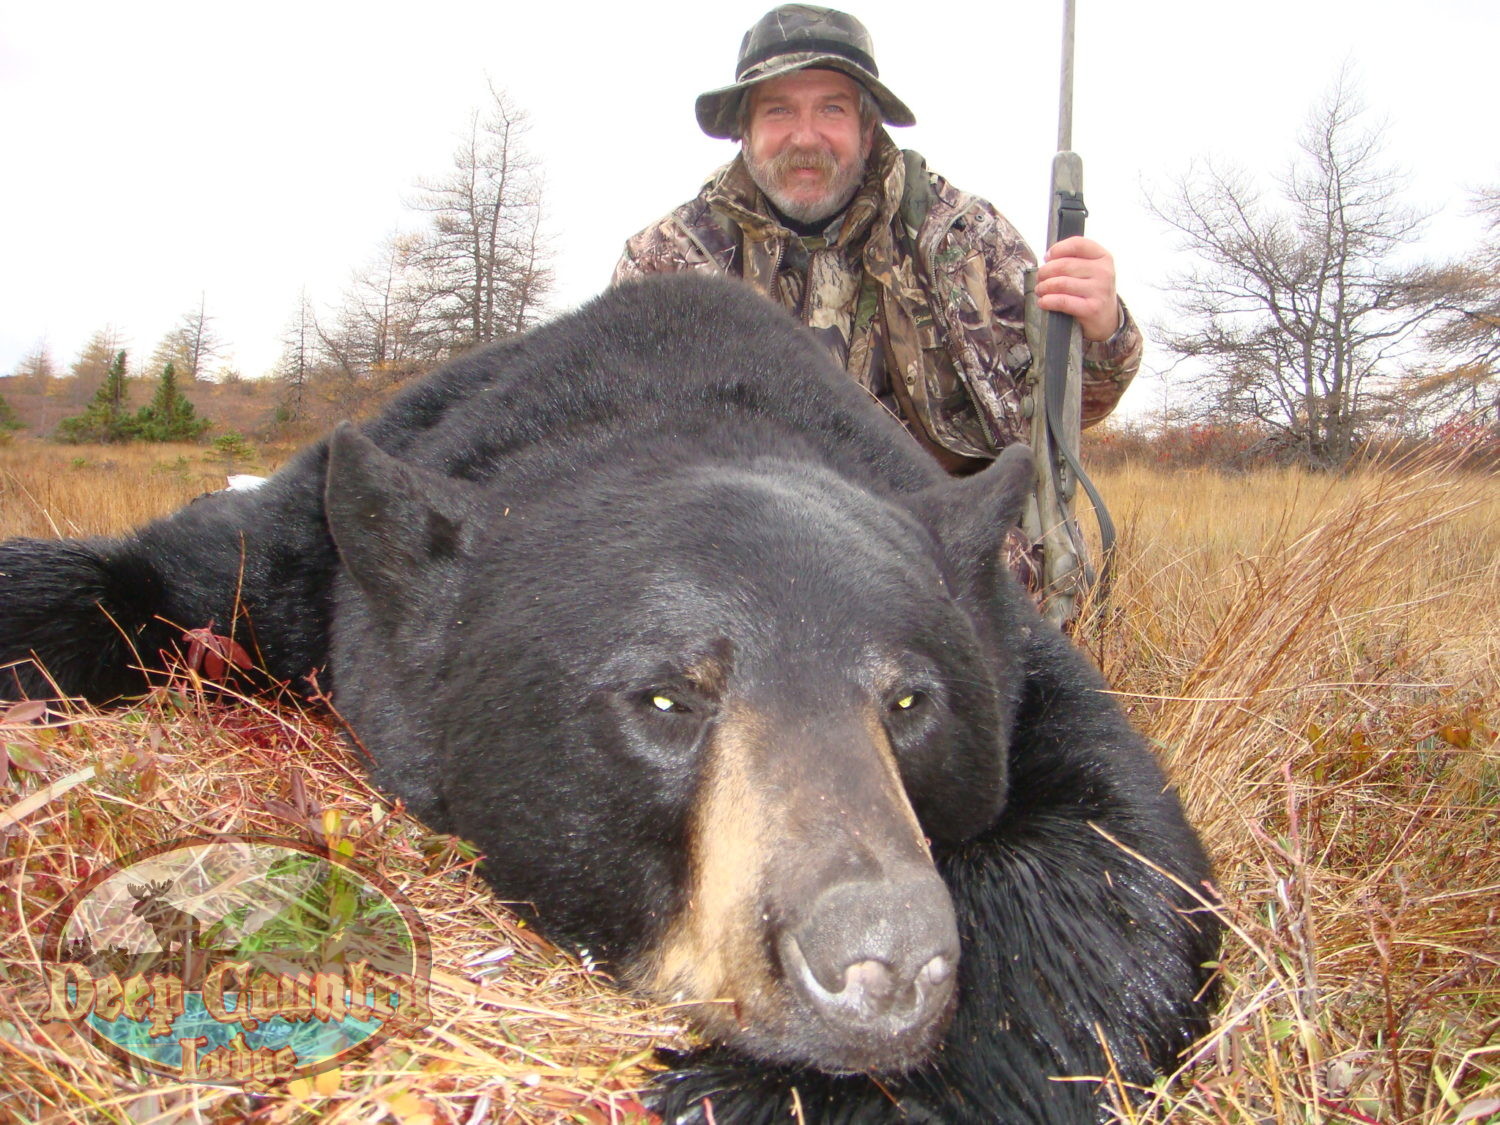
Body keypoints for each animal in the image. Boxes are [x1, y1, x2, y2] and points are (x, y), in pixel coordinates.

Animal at [0, 274, 1219, 1124]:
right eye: (667, 699)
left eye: (912, 703)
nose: (881, 961)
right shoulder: (315, 552)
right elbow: (148, 580)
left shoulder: (1017, 649)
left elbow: (1130, 861)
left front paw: (755, 1089)